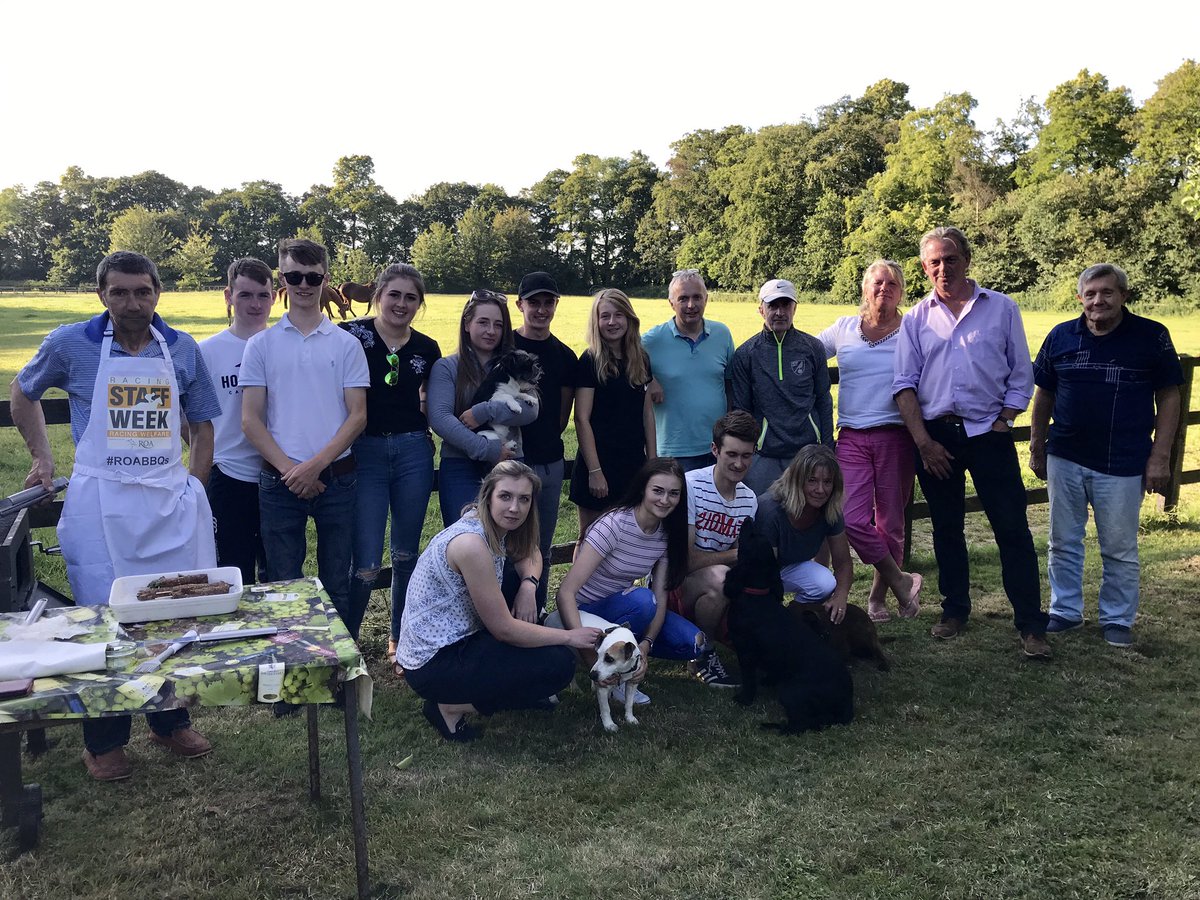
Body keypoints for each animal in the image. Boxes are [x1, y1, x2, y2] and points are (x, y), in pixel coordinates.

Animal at [720, 518, 854, 734]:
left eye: (751, 536)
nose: (749, 519)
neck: (756, 595)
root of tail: (848, 704)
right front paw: (767, 680)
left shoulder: (746, 652)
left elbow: (748, 679)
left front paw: (743, 699)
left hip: (791, 691)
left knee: (801, 724)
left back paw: (773, 727)